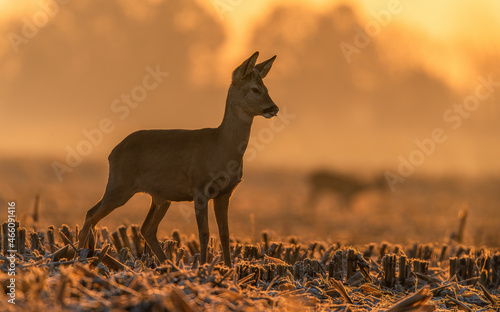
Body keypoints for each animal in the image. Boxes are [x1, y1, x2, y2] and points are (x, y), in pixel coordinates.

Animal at [80, 51, 280, 266]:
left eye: (266, 88)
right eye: (255, 89)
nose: (274, 108)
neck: (221, 147)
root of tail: (113, 152)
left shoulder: (225, 193)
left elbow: (225, 234)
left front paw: (228, 268)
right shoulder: (199, 188)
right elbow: (204, 234)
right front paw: (203, 266)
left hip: (160, 197)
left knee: (146, 228)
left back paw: (167, 265)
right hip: (119, 185)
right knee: (91, 215)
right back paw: (79, 256)